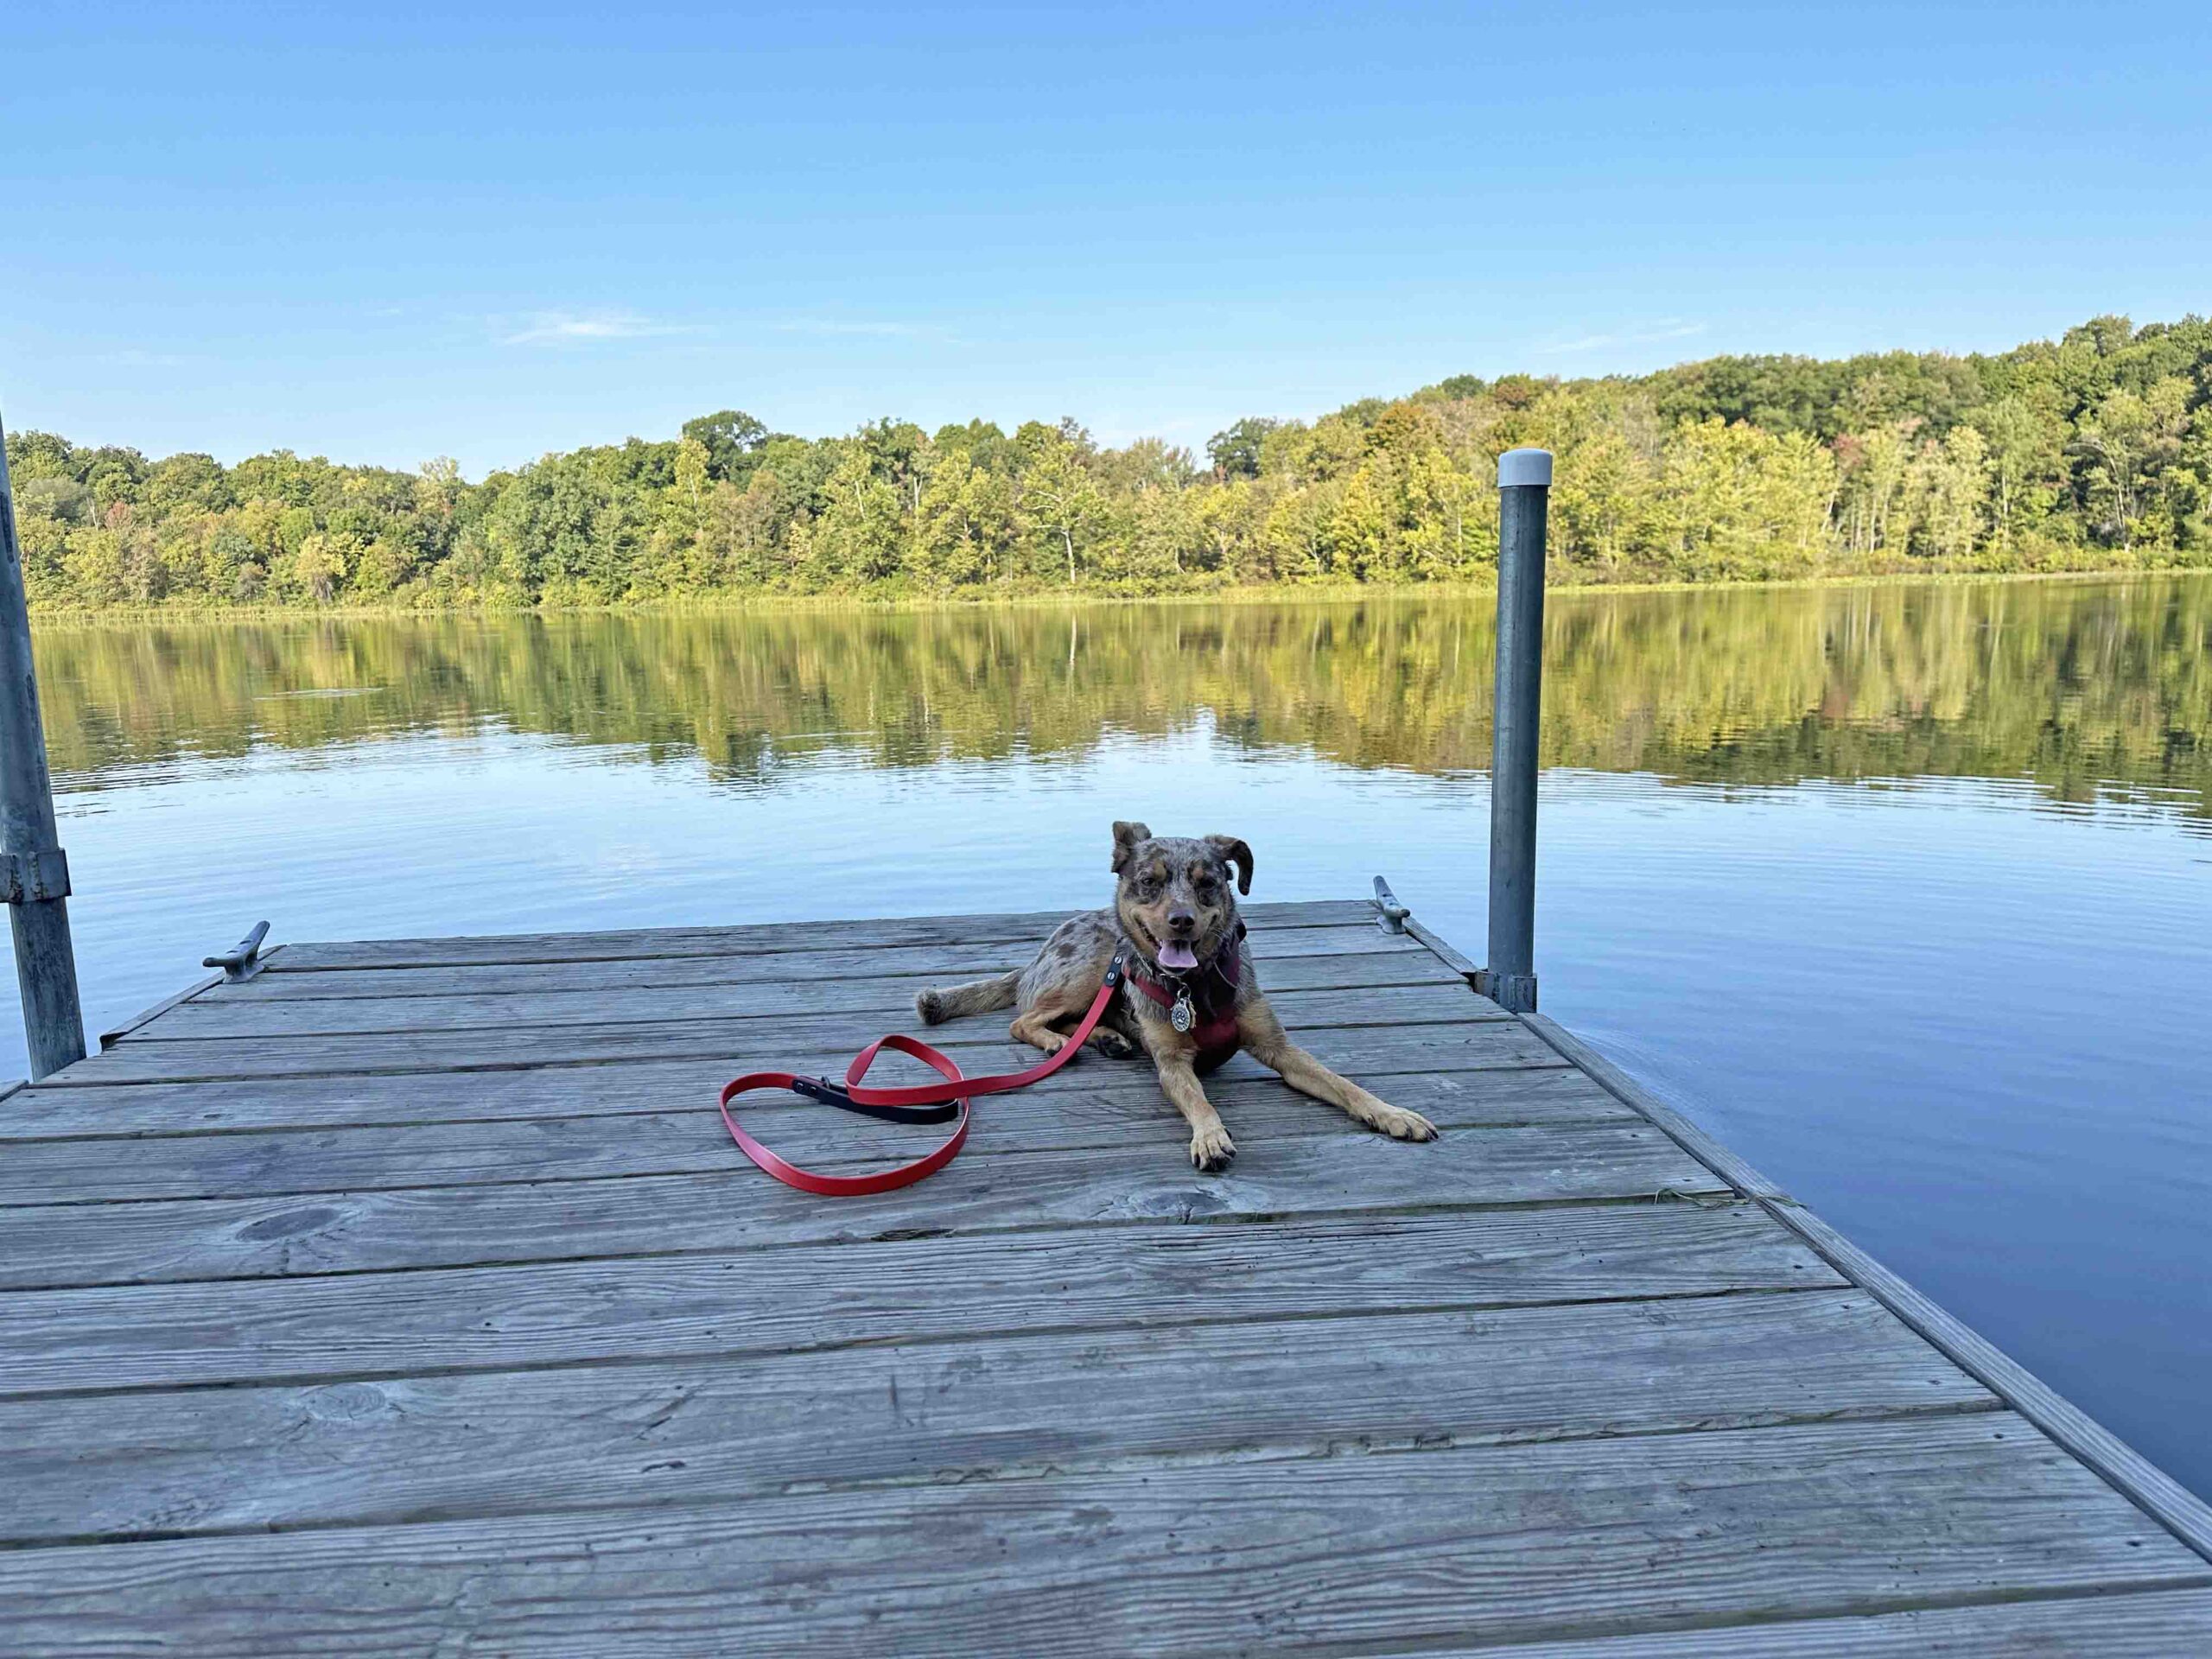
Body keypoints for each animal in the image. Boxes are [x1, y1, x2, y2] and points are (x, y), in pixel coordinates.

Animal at [911, 827, 1442, 1176]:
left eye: (1208, 882)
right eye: (1150, 881)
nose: (1181, 920)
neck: (1197, 986)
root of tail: (1037, 955)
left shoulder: (1283, 1051)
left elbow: (1343, 1084)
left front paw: (1393, 1114)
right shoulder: (1170, 1063)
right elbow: (1200, 1100)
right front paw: (1210, 1136)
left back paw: (1105, 1037)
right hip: (1091, 969)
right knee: (1024, 1020)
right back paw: (1060, 1042)